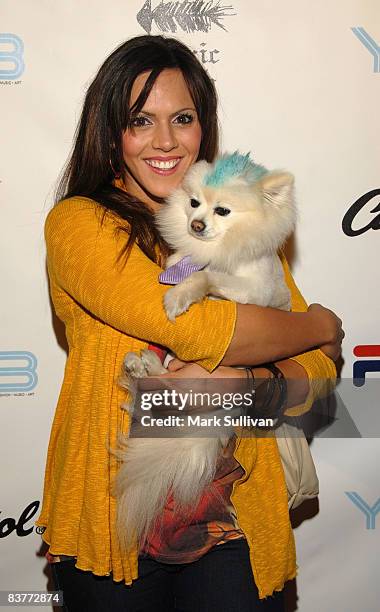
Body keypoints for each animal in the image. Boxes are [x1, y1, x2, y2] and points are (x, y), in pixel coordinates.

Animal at [113, 152, 296, 548]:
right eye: (194, 203)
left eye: (223, 211)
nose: (196, 224)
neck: (218, 248)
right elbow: (183, 264)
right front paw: (176, 269)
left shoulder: (253, 292)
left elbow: (207, 275)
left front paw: (180, 294)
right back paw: (141, 366)